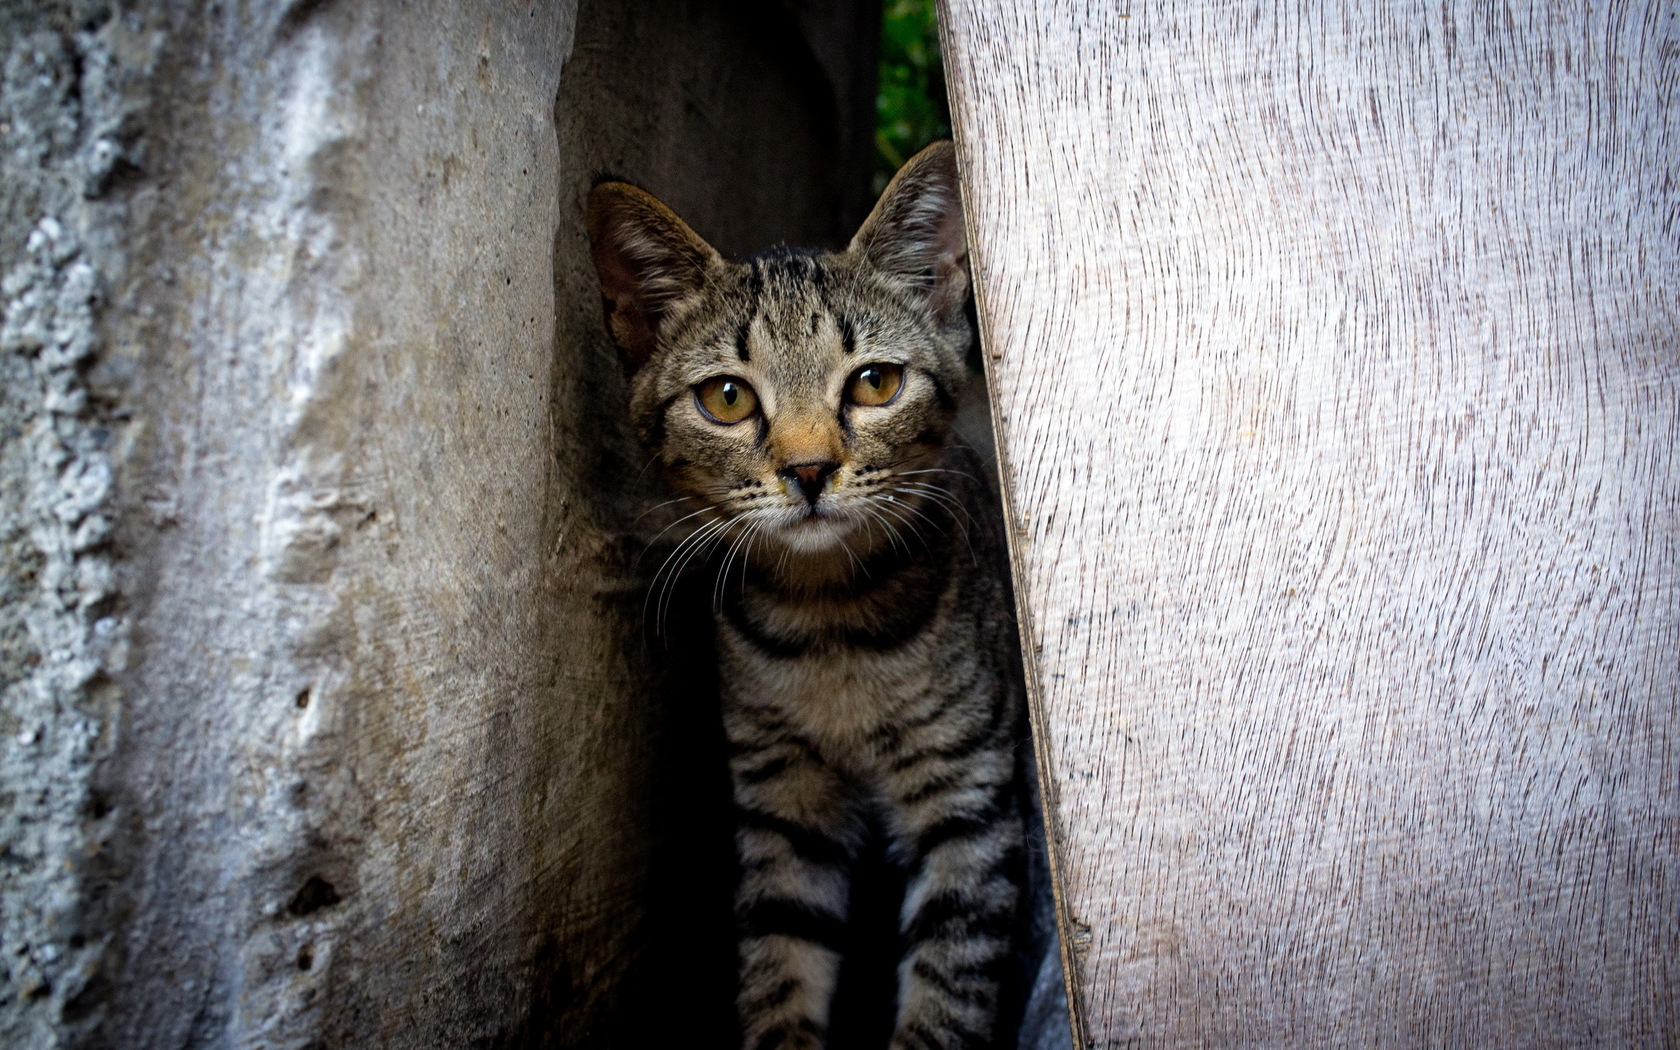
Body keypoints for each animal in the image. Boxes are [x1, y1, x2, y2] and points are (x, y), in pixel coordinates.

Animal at [591, 141, 1055, 1048]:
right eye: (726, 397)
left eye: (874, 383)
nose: (808, 470)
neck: (830, 621)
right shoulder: (781, 804)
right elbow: (780, 960)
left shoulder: (968, 804)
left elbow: (948, 989)